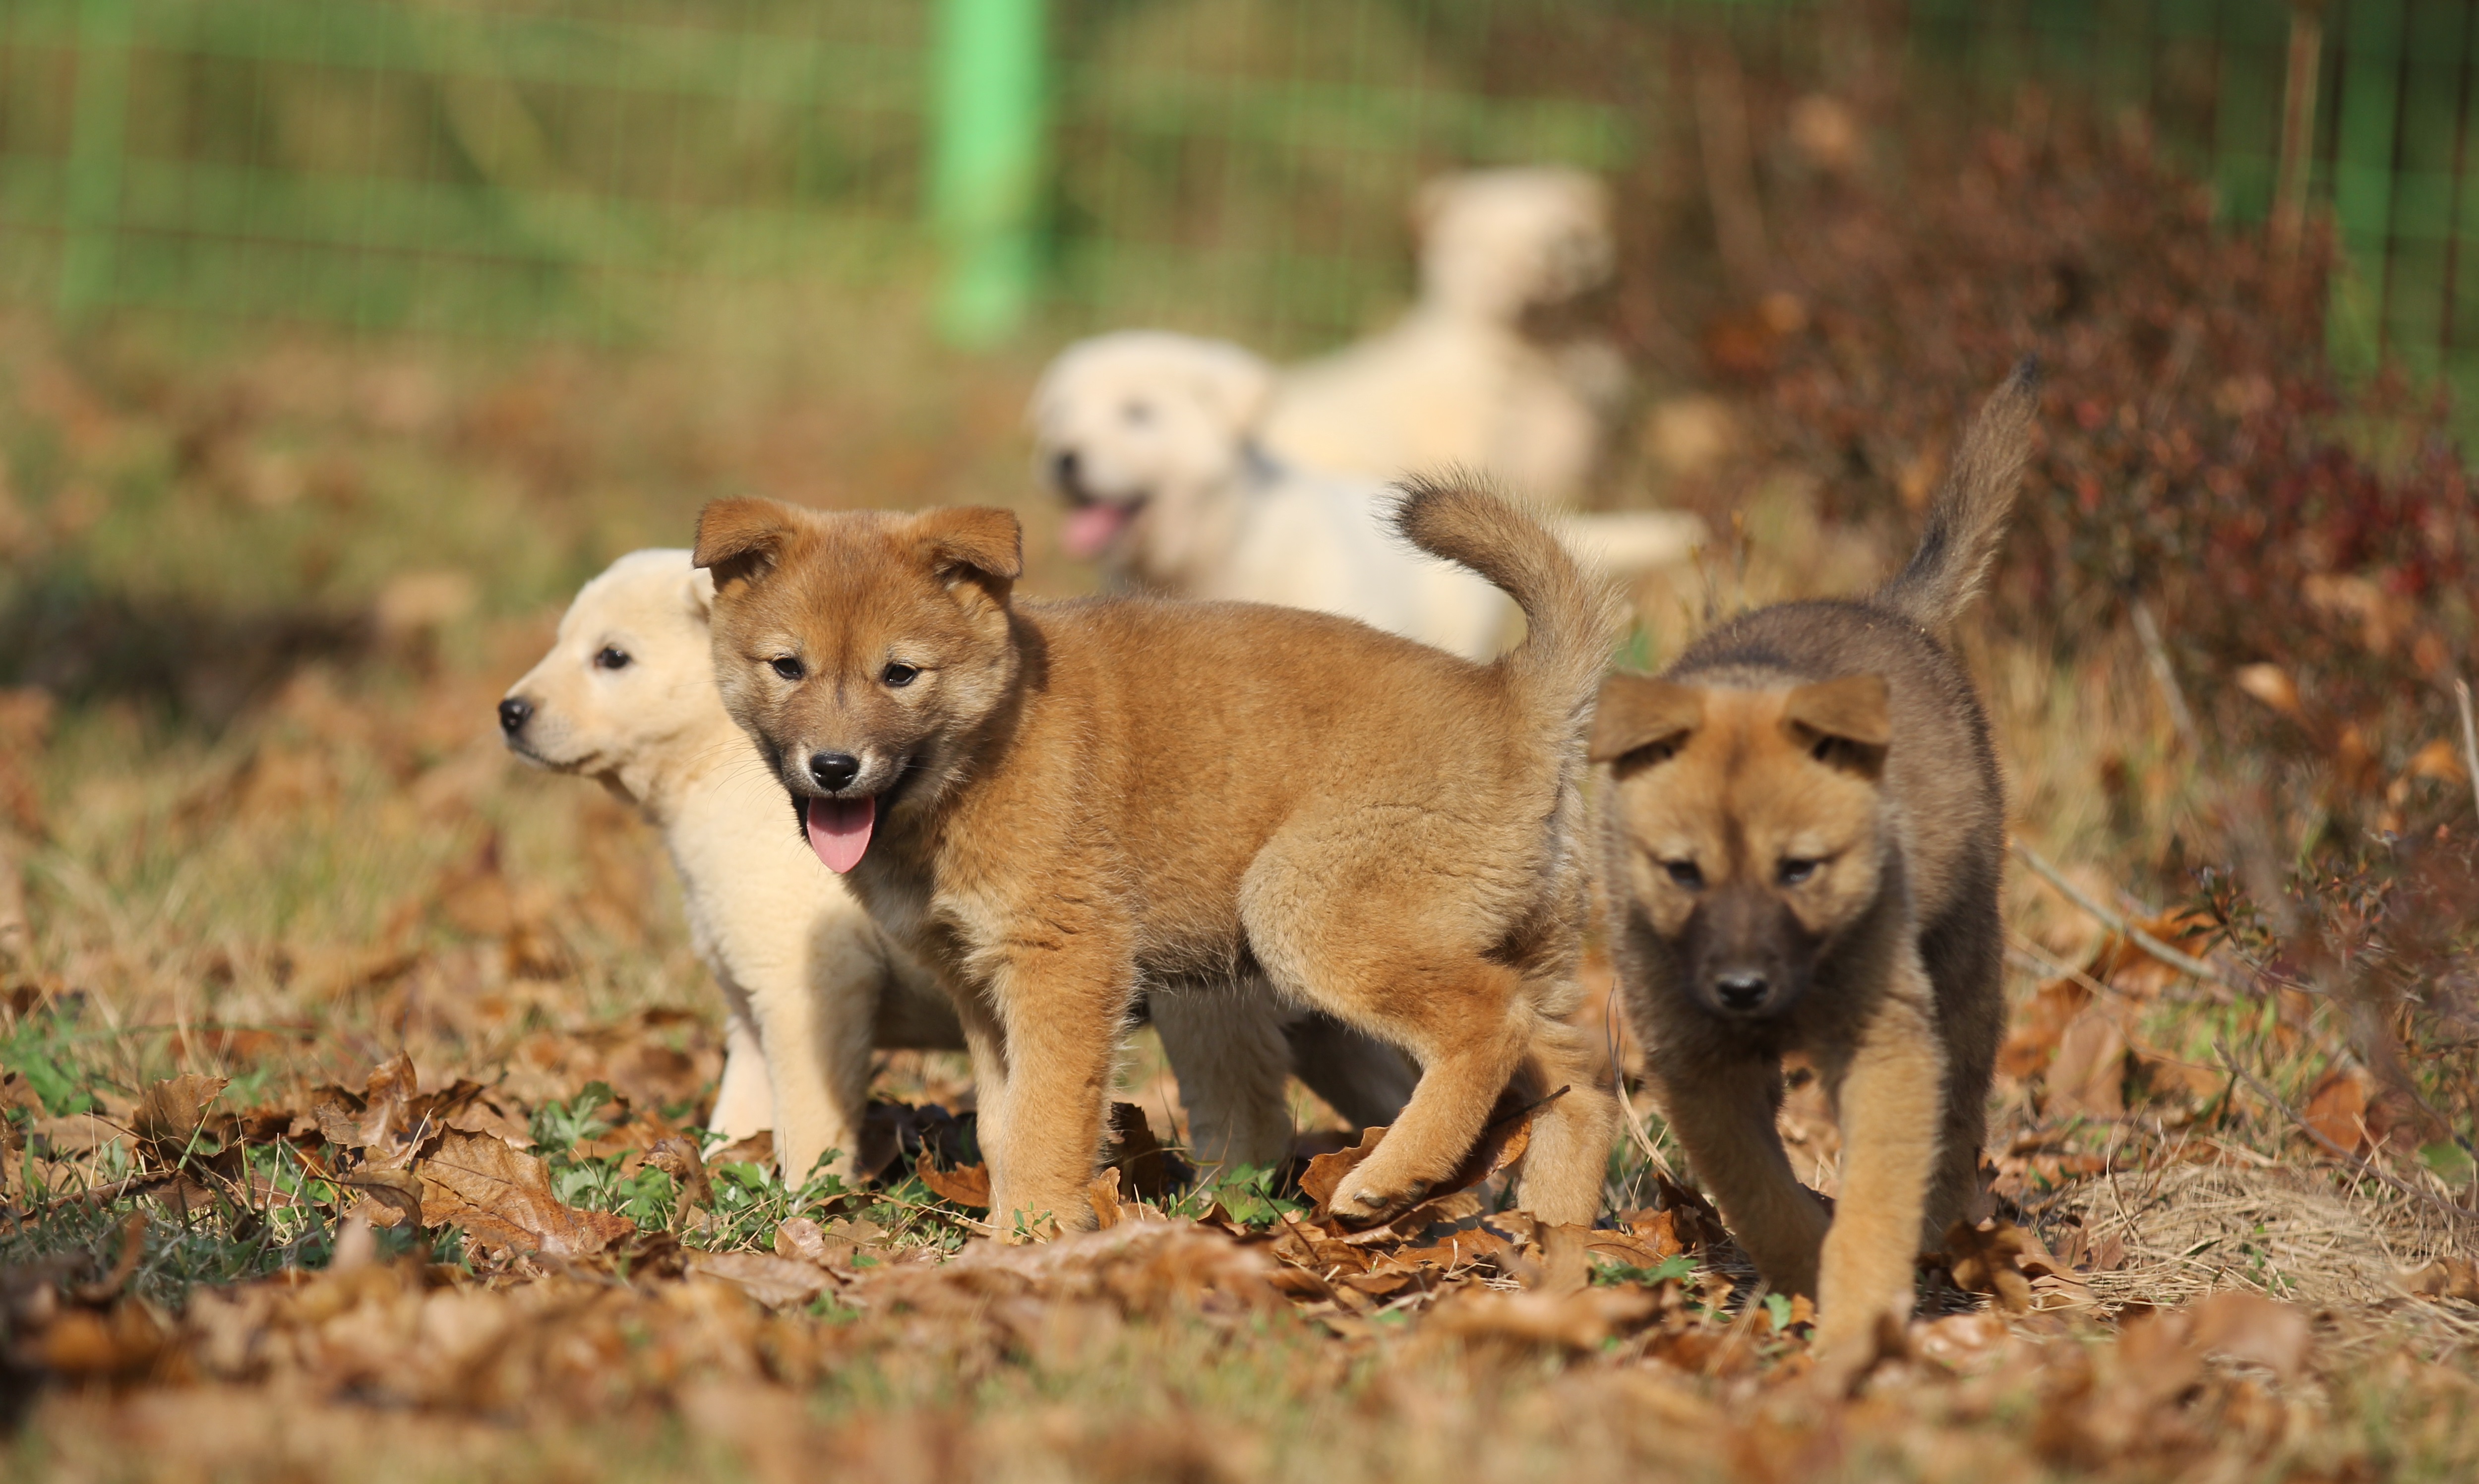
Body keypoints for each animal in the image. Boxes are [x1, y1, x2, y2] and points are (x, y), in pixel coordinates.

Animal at [498, 552, 1418, 1179]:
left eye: (612, 656)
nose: (509, 711)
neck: (723, 780)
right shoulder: (748, 1011)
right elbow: (739, 1120)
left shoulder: (810, 995)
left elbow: (808, 1128)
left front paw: (804, 1209)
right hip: (1325, 1018)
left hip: (1211, 1007)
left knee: (1246, 1119)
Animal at [694, 483, 1626, 1239]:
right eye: (787, 667)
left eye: (899, 674)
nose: (833, 767)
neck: (987, 750)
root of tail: (1512, 699)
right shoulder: (977, 984)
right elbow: (1003, 1120)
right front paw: (1012, 1222)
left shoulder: (1066, 961)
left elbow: (1044, 1117)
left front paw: (1027, 1237)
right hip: (1504, 947)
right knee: (1575, 1078)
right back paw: (1554, 1235)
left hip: (1306, 913)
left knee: (1486, 1022)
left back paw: (1391, 1177)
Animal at [1586, 366, 2033, 1377]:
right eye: (1682, 872)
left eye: (1798, 869)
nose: (1743, 989)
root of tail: (1885, 608)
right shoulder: (1697, 1066)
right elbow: (1760, 1194)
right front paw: (1804, 1272)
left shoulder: (1883, 1044)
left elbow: (1875, 1194)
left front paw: (1859, 1315)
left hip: (1960, 960)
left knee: (1960, 1107)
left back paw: (1942, 1216)